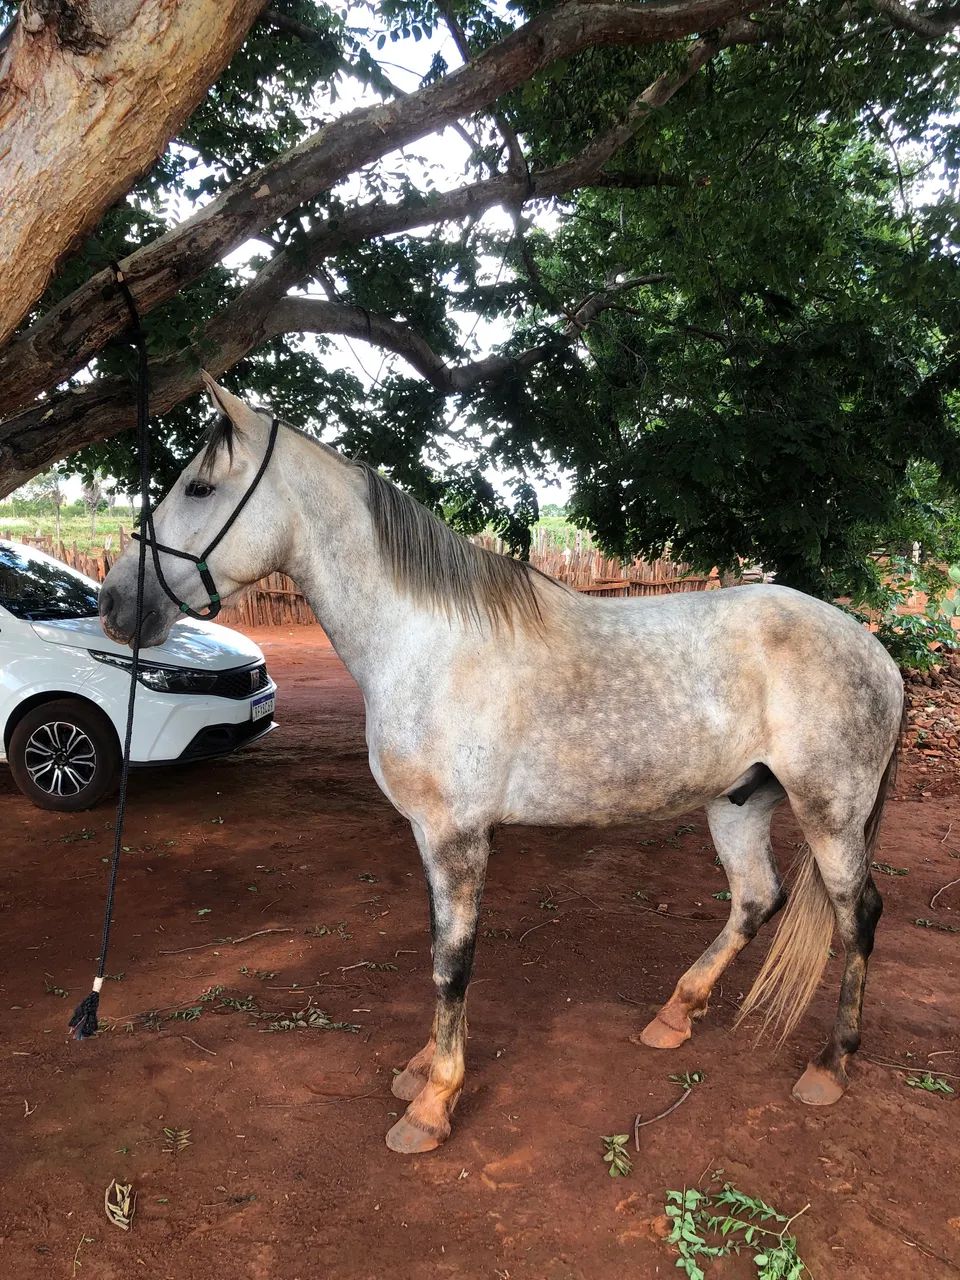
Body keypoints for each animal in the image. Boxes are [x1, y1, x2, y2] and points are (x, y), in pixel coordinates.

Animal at [99, 374, 904, 1154]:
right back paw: (676, 1014)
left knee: (857, 913)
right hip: (739, 801)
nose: (115, 604)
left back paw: (831, 1064)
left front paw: (433, 1105)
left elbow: (452, 961)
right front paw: (424, 1067)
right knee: (755, 899)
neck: (424, 643)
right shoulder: (427, 833)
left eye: (199, 488)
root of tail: (877, 651)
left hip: (830, 812)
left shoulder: (457, 834)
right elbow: (439, 948)